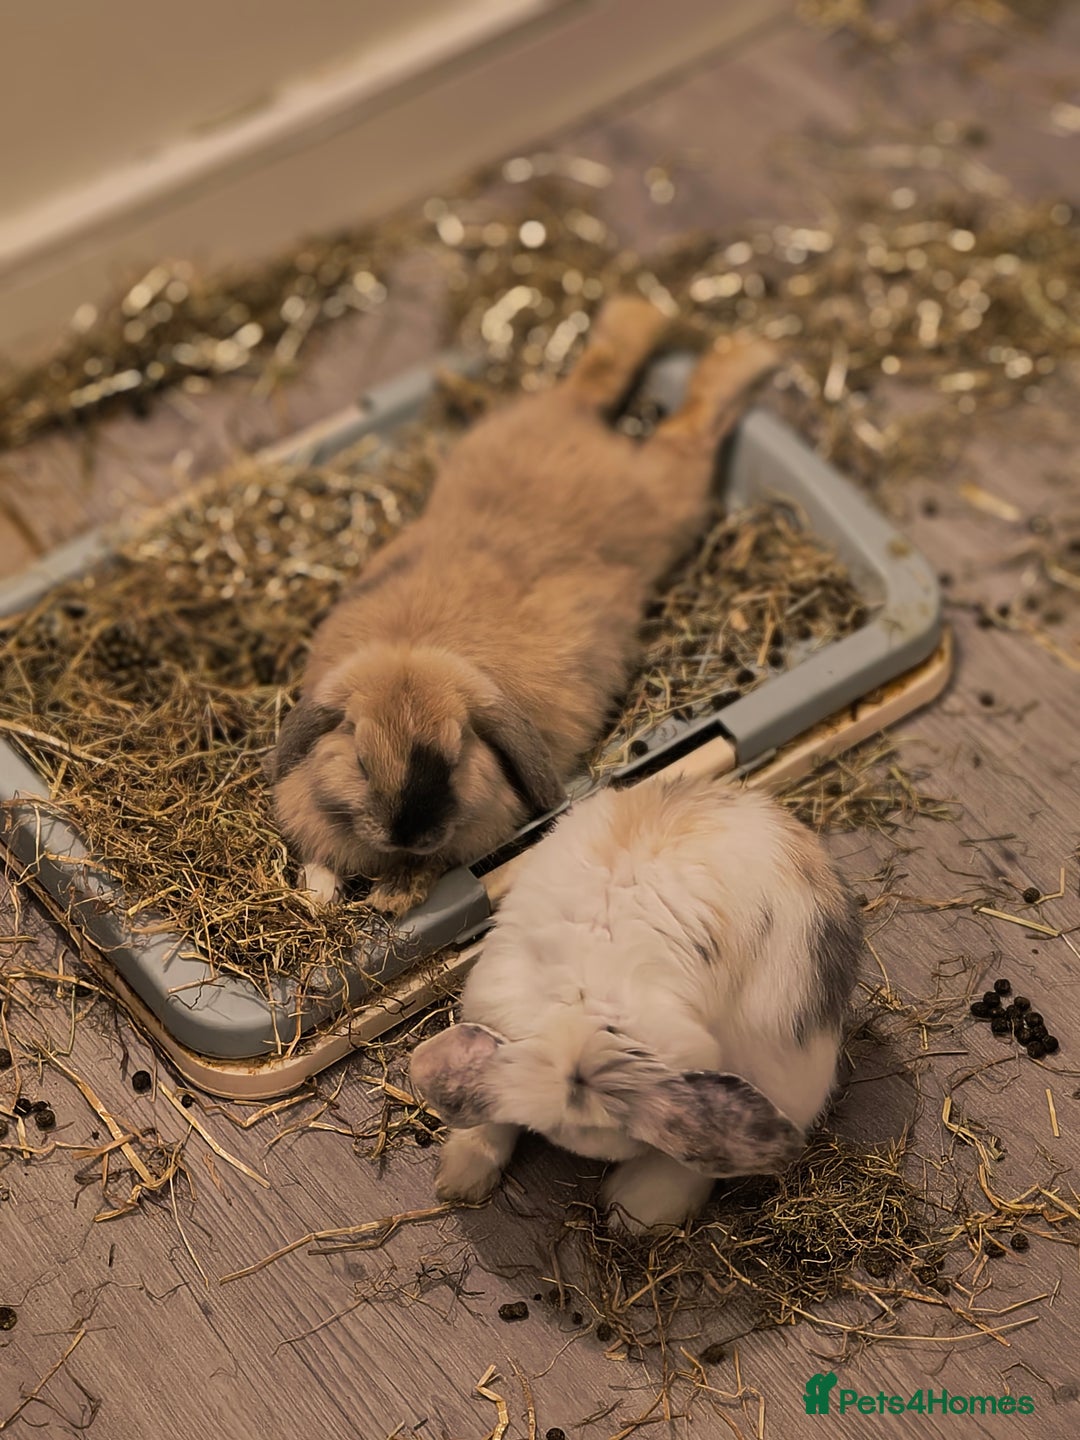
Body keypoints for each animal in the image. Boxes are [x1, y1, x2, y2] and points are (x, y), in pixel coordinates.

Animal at [267, 296, 779, 914]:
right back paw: (647, 321)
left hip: (669, 492)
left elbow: (432, 868)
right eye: (362, 762)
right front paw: (319, 894)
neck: (413, 650)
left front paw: (392, 897)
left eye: (456, 756)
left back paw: (741, 353)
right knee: (604, 371)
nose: (410, 833)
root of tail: (576, 423)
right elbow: (320, 857)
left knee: (691, 422)